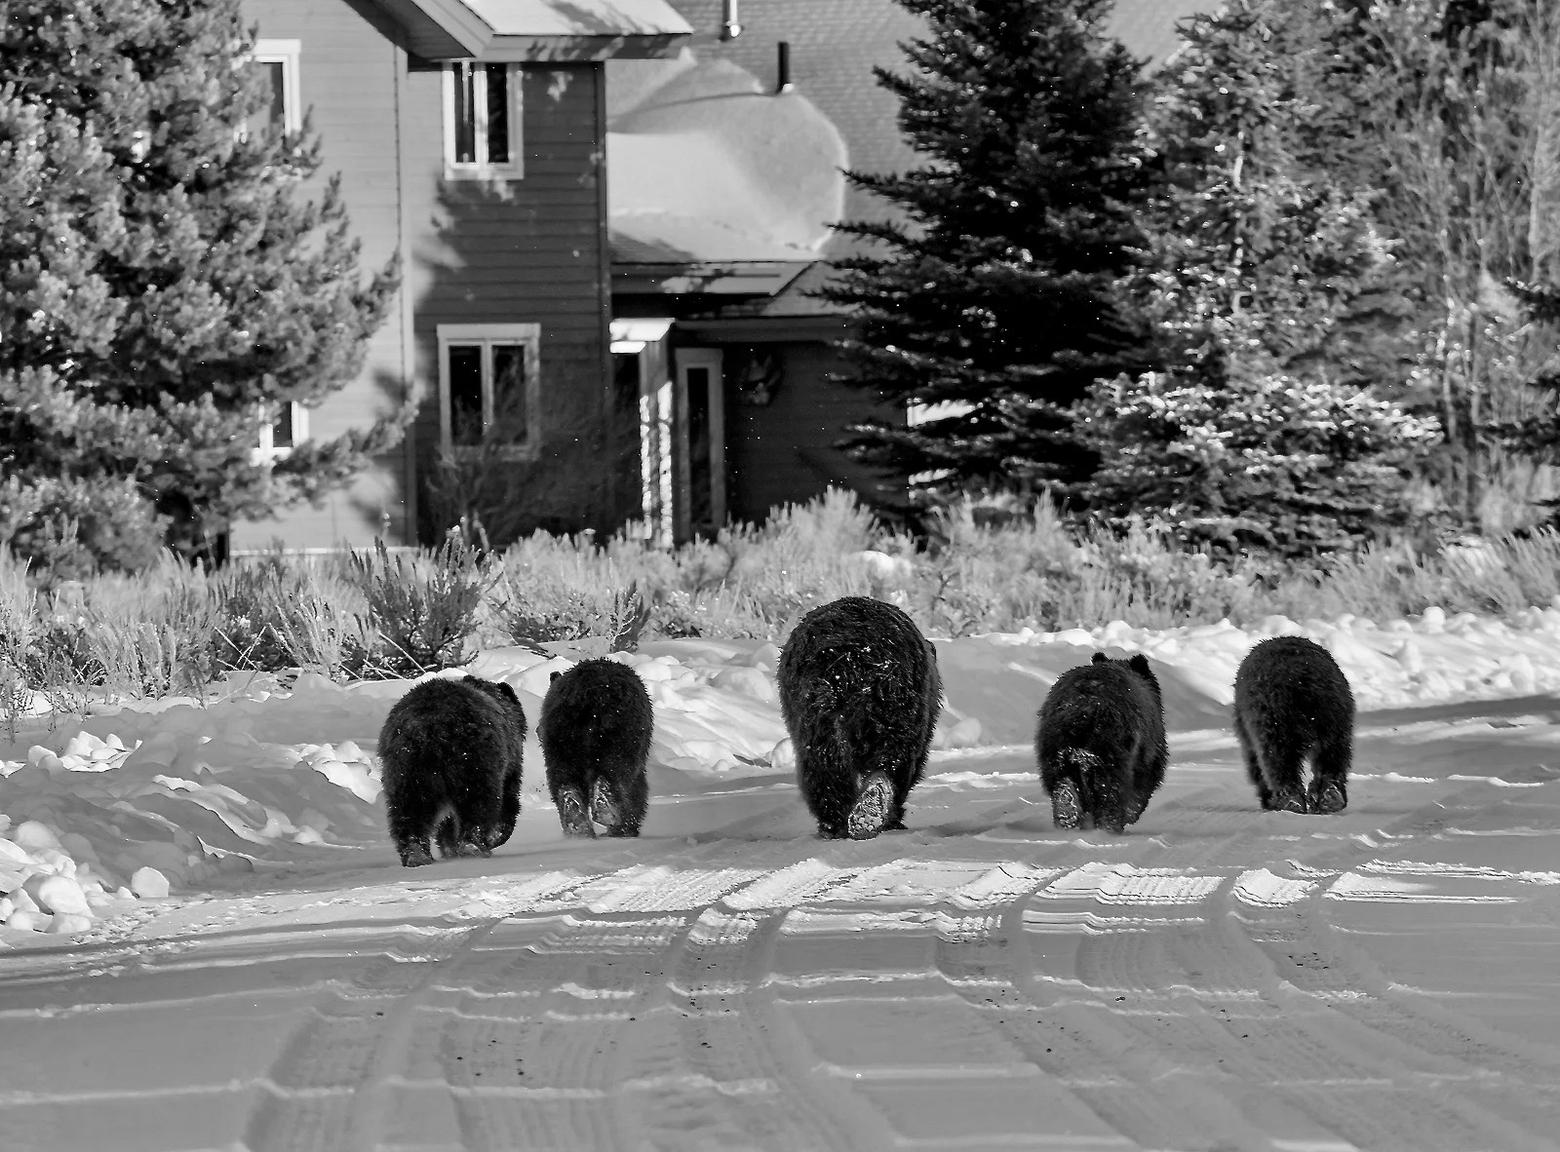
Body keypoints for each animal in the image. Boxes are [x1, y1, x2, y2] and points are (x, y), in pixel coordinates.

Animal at [377, 668, 530, 867]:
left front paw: (448, 846)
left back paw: (416, 854)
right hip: (473, 760)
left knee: (410, 809)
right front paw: (495, 836)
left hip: (407, 768)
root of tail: (431, 727)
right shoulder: (510, 763)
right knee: (477, 803)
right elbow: (508, 801)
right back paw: (473, 846)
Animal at [539, 655, 655, 836]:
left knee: (563, 777)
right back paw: (607, 810)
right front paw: (627, 827)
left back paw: (576, 819)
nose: (537, 730)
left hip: (561, 737)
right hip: (618, 733)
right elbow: (636, 788)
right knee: (616, 769)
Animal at [776, 593, 942, 836]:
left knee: (824, 763)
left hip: (818, 711)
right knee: (895, 757)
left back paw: (854, 816)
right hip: (897, 704)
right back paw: (869, 812)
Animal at [1042, 649, 1166, 830]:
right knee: (1111, 794)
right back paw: (1109, 826)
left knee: (1064, 790)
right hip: (1112, 753)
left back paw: (1067, 820)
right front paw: (1130, 816)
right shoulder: (1147, 752)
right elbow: (1141, 788)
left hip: (1056, 753)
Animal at [1229, 633, 1354, 811]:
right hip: (1335, 718)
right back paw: (1330, 795)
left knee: (1278, 761)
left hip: (1274, 721)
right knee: (1333, 756)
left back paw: (1291, 800)